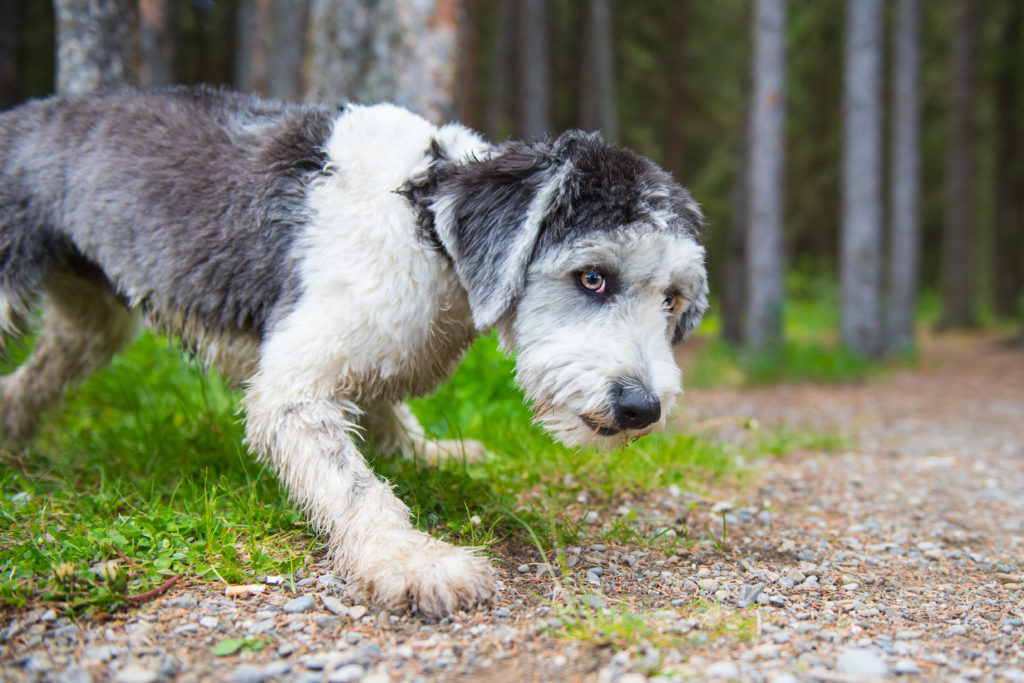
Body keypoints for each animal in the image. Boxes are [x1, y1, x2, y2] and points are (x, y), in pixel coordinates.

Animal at [0, 87, 708, 618]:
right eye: (593, 277)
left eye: (672, 299)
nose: (643, 408)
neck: (427, 227)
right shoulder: (291, 387)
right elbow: (355, 485)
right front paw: (414, 560)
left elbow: (383, 412)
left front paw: (427, 450)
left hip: (92, 317)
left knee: (37, 373)